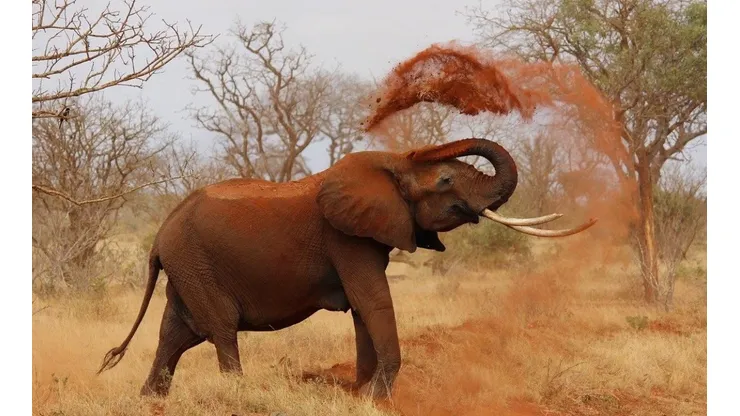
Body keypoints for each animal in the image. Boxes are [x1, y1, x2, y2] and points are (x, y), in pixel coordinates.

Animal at [97, 138, 595, 399]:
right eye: (446, 180)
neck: (390, 165)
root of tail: (160, 235)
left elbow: (362, 308)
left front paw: (360, 394)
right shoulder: (346, 238)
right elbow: (372, 300)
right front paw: (377, 397)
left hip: (187, 267)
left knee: (176, 334)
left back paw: (150, 401)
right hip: (196, 263)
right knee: (219, 328)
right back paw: (237, 394)